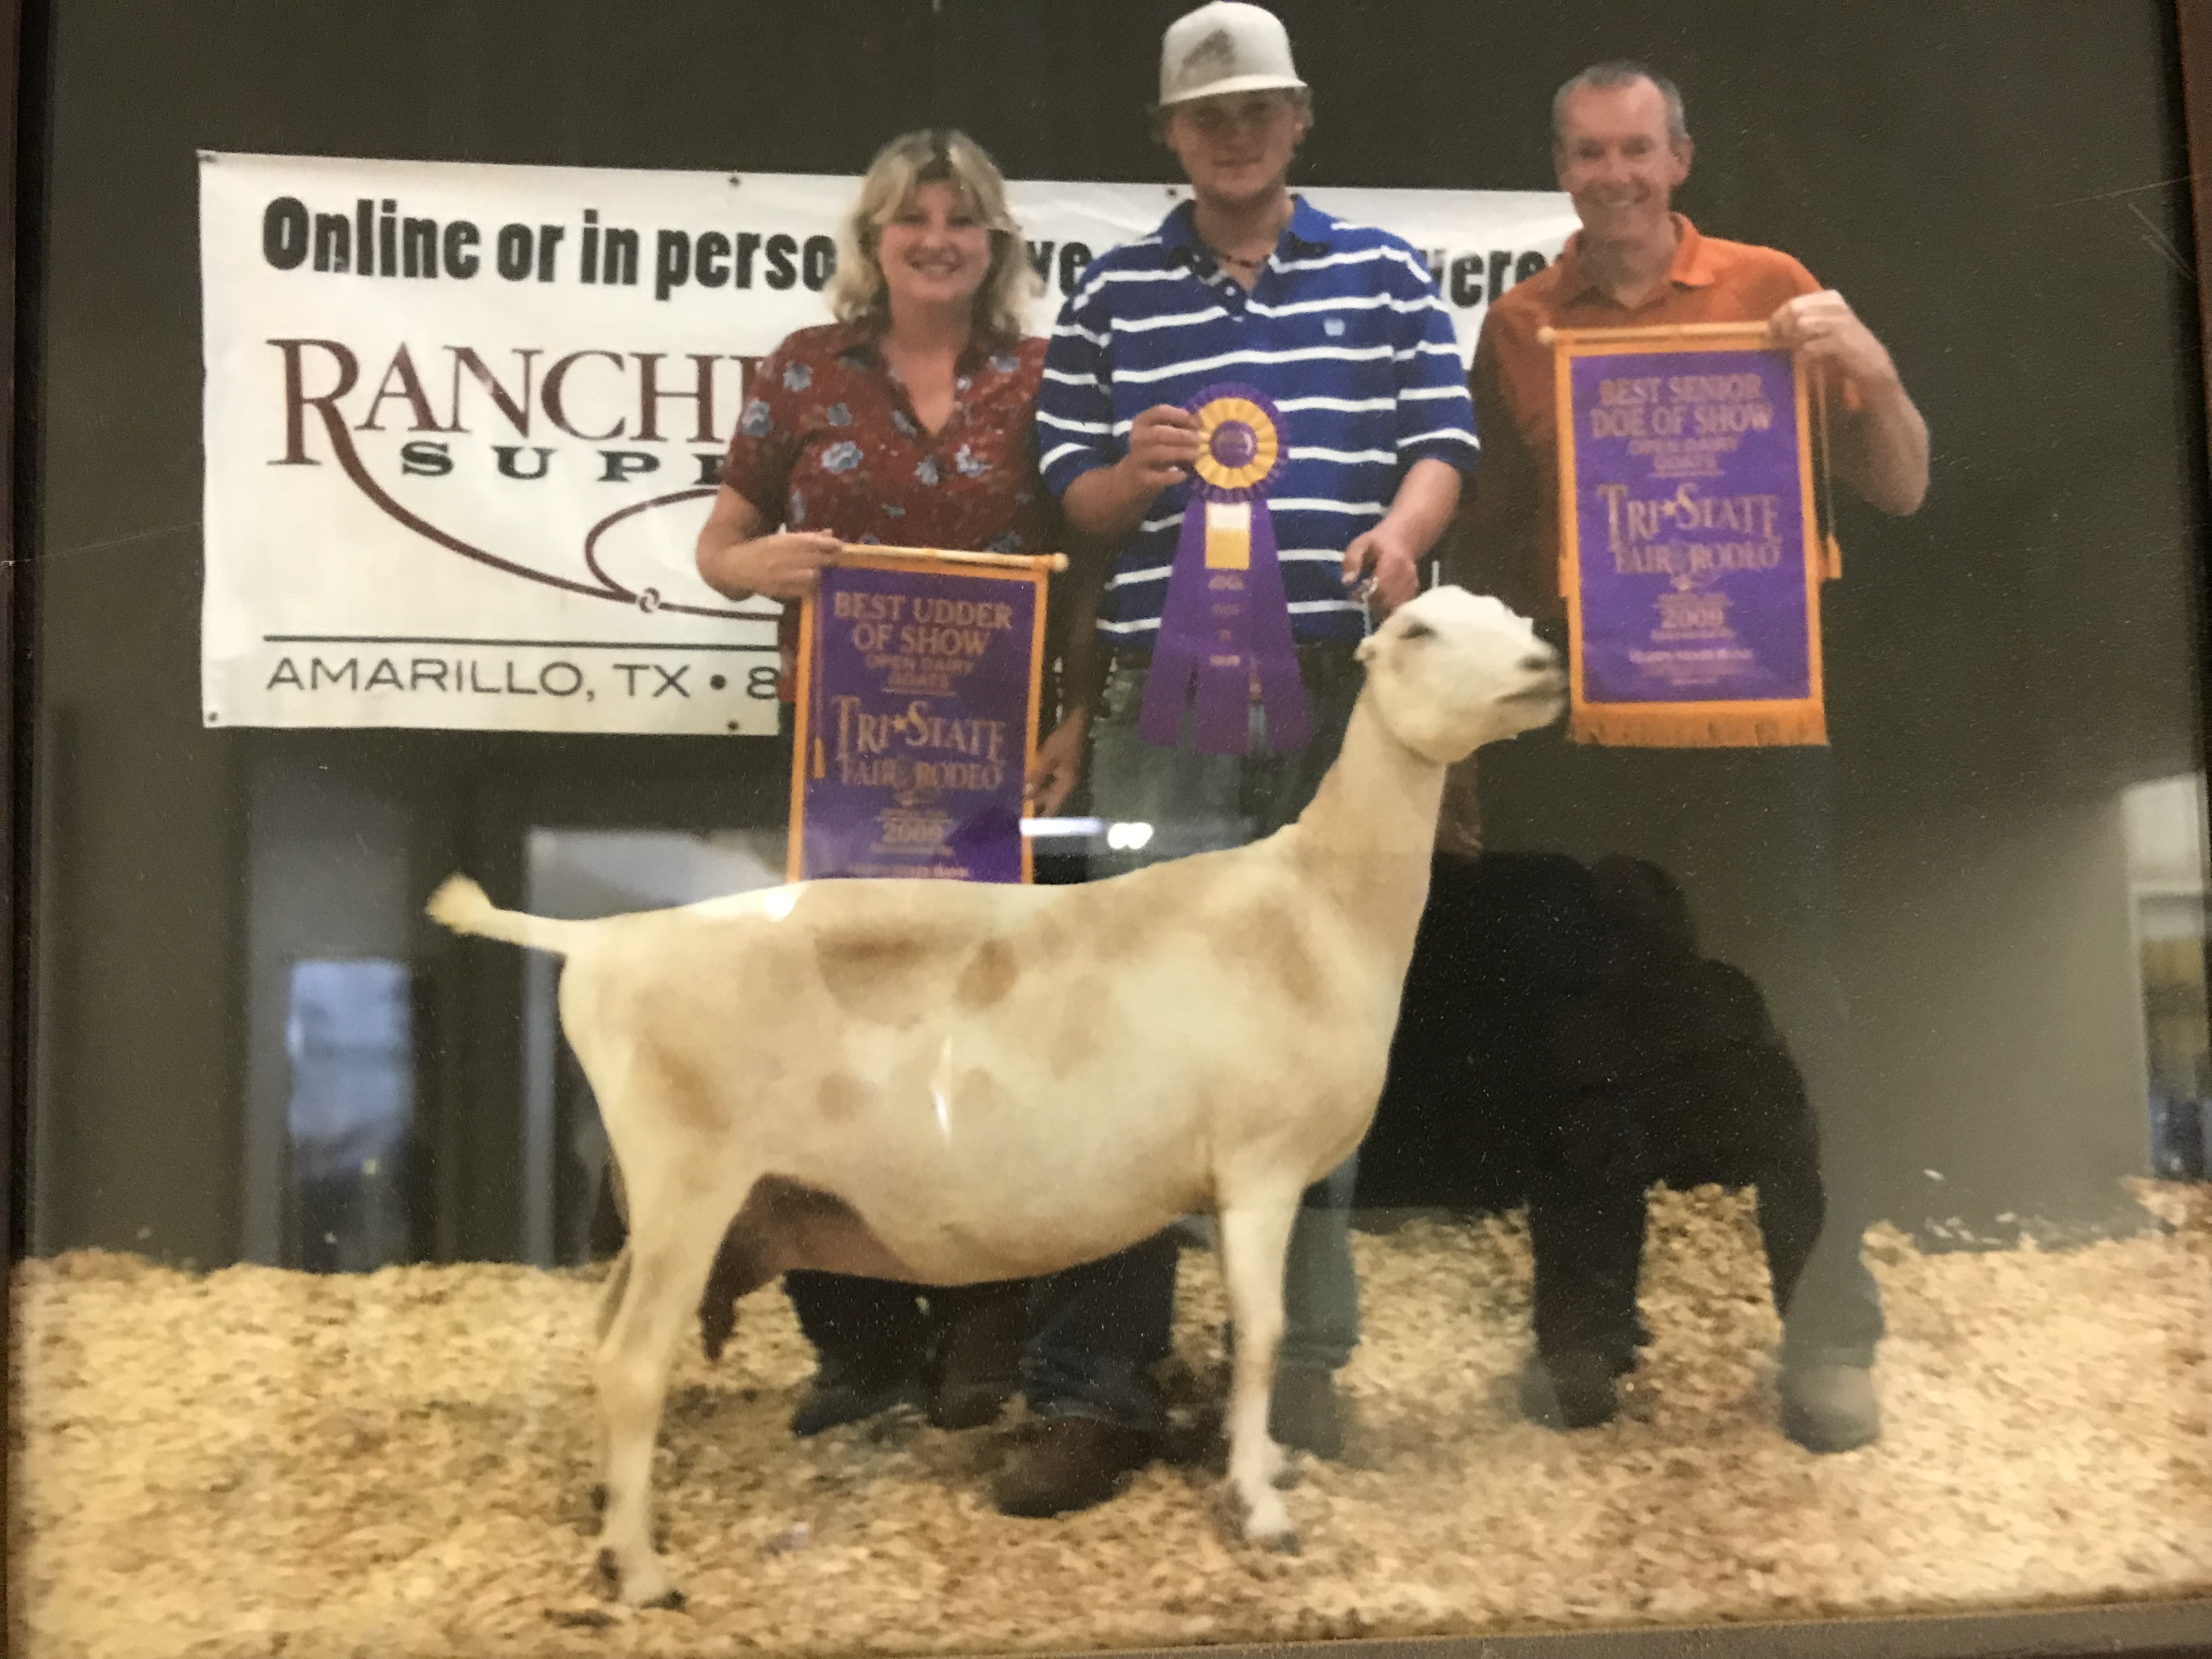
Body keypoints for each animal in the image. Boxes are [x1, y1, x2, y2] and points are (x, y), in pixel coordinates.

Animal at [426, 585, 1563, 1606]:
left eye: (1517, 617)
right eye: (1417, 630)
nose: (1544, 666)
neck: (1313, 907)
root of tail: (602, 941)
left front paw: (1263, 1470)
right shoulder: (1258, 1166)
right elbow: (1261, 1335)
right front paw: (1260, 1506)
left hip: (663, 1192)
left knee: (599, 1339)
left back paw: (603, 1511)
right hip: (687, 1176)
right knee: (631, 1361)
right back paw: (643, 1571)